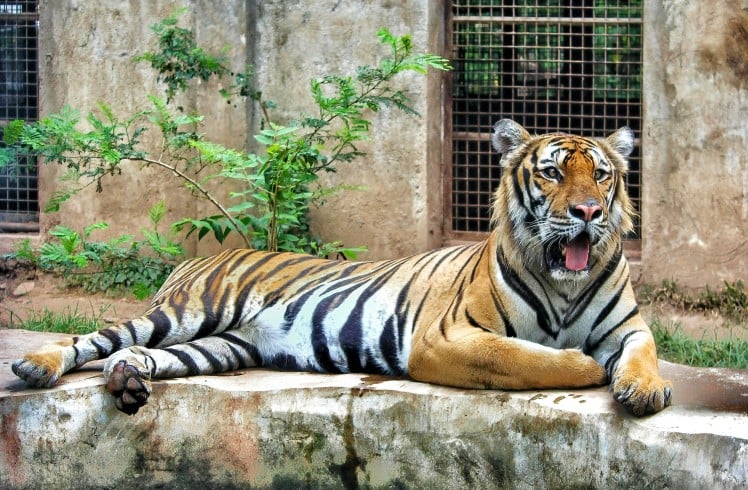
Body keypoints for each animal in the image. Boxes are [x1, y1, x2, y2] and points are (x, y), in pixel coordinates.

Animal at [12, 119, 672, 416]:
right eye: (553, 172)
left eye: (602, 175)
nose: (588, 212)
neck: (566, 285)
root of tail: (203, 254)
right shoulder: (447, 337)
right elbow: (529, 359)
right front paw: (587, 367)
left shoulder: (628, 327)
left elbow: (642, 352)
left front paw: (643, 387)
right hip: (185, 312)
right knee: (92, 339)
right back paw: (36, 366)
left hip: (223, 345)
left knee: (142, 355)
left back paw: (127, 380)